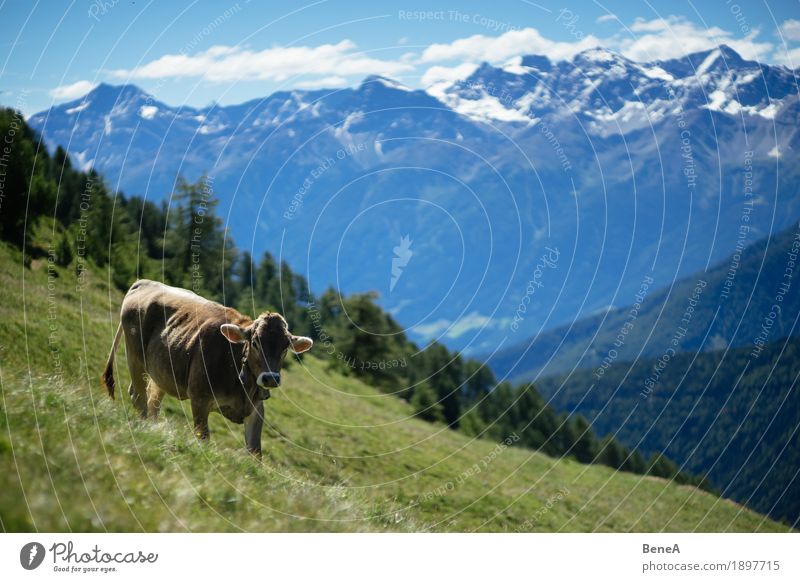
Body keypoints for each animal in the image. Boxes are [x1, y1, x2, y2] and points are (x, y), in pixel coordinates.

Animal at [100, 280, 312, 458]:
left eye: (285, 348)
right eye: (255, 343)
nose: (270, 378)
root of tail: (144, 282)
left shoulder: (256, 409)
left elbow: (255, 452)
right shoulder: (200, 399)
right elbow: (203, 438)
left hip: (161, 371)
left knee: (153, 400)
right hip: (134, 356)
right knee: (139, 396)